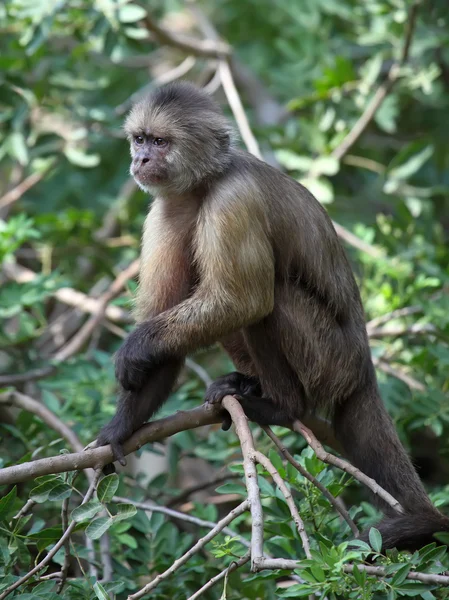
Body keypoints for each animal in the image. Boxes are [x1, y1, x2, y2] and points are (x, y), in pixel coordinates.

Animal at [98, 81, 448, 552]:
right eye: (139, 139)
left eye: (161, 142)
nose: (141, 160)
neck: (203, 185)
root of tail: (364, 369)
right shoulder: (165, 211)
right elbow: (163, 333)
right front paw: (121, 427)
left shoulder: (233, 202)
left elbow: (242, 302)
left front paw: (133, 350)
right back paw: (246, 384)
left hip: (331, 361)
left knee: (269, 300)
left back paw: (282, 406)